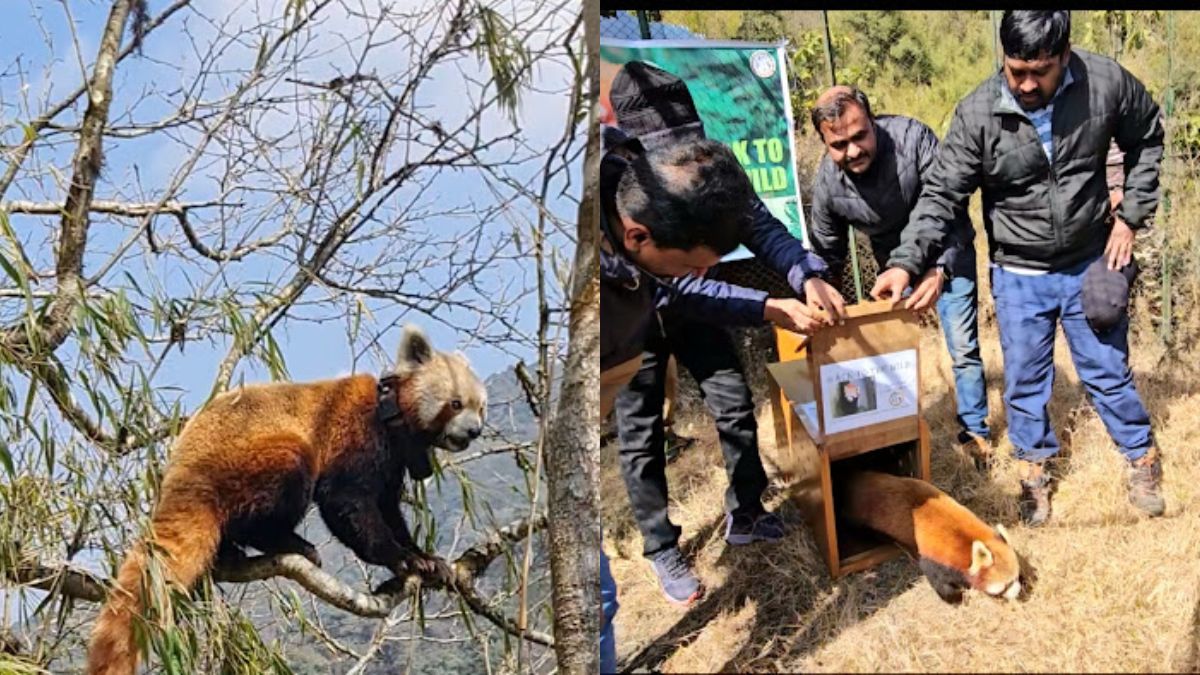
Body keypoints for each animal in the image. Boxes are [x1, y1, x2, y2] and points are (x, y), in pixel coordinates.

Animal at [84, 324, 489, 667]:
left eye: (480, 407)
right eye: (456, 404)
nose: (474, 431)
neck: (390, 415)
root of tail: (180, 476)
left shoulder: (393, 464)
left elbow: (389, 510)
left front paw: (427, 558)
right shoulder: (355, 436)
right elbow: (346, 503)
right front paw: (403, 558)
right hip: (250, 459)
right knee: (285, 476)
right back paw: (287, 542)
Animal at [835, 470, 1022, 600]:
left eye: (1017, 577)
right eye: (1005, 585)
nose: (1018, 592)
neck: (965, 540)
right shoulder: (934, 557)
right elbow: (938, 580)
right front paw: (956, 598)